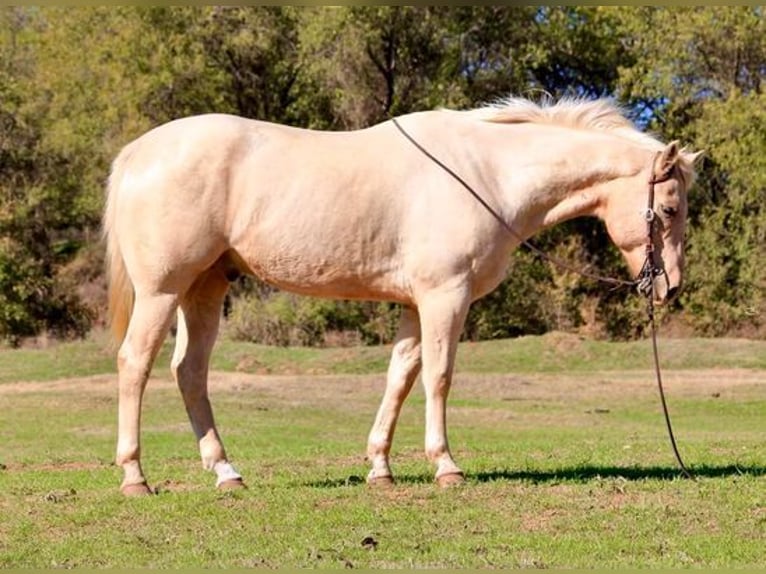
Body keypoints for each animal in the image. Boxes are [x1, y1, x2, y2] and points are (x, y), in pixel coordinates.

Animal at [105, 97, 704, 498]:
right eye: (670, 208)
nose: (669, 285)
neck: (488, 174)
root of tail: (138, 152)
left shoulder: (416, 306)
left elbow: (400, 377)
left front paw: (381, 468)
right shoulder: (445, 298)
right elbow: (438, 377)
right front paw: (446, 466)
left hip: (204, 288)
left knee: (189, 373)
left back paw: (227, 472)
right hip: (162, 291)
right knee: (136, 364)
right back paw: (135, 477)